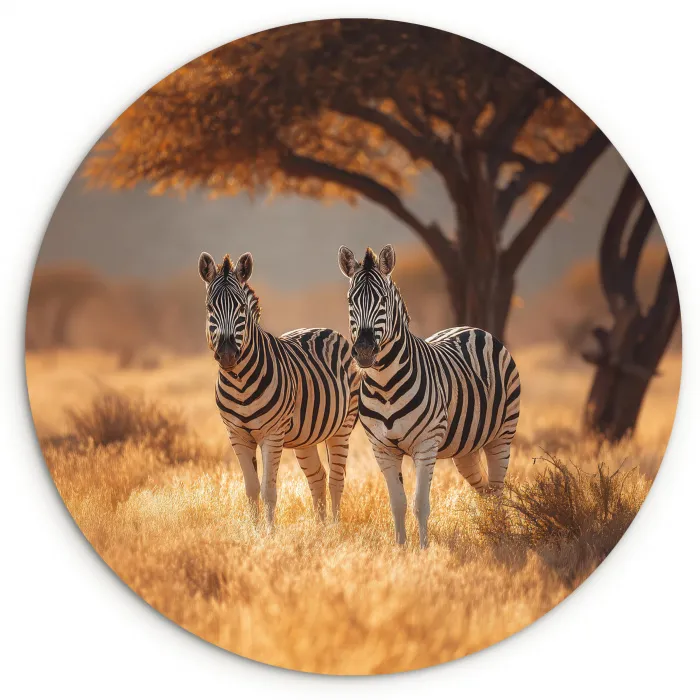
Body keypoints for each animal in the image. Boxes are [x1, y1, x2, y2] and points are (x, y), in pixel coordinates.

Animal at [199, 251, 359, 526]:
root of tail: (326, 329)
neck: (240, 383)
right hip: (306, 436)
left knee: (336, 480)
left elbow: (268, 491)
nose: (228, 354)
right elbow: (251, 489)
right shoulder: (236, 435)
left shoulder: (272, 435)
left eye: (241, 308)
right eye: (210, 307)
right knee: (318, 477)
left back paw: (335, 529)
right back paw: (320, 530)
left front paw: (269, 533)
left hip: (343, 426)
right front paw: (253, 531)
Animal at [338, 244, 520, 549]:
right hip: (466, 448)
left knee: (496, 490)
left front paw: (423, 551)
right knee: (483, 489)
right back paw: (489, 531)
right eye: (351, 301)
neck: (385, 386)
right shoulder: (382, 449)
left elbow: (420, 504)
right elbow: (397, 503)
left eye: (383, 300)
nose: (363, 351)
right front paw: (400, 549)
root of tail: (473, 328)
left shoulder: (426, 445)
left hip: (501, 436)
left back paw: (501, 536)